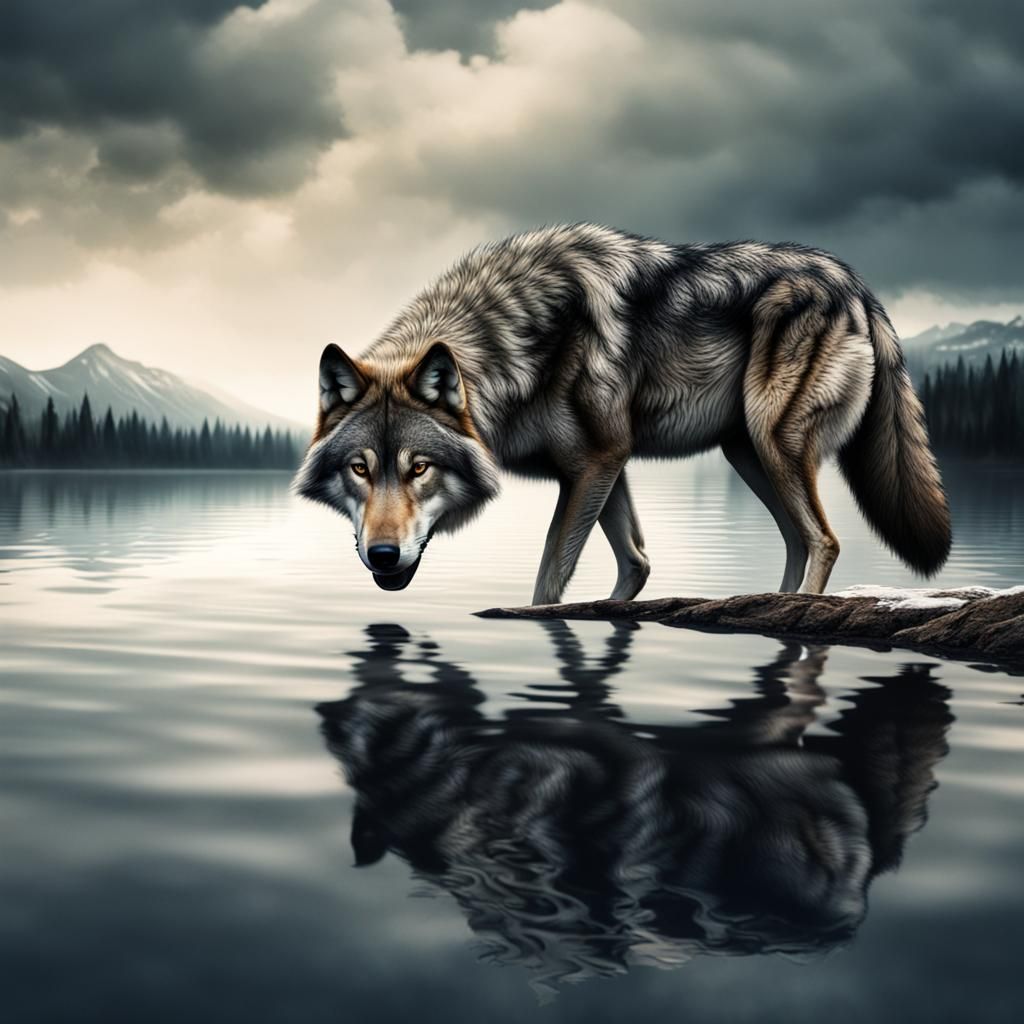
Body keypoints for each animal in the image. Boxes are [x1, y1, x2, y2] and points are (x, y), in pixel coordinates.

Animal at [294, 223, 951, 602]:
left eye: (419, 468)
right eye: (360, 468)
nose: (383, 555)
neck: (515, 343)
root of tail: (855, 282)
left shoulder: (598, 461)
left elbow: (549, 580)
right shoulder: (604, 467)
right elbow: (635, 564)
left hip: (774, 444)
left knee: (824, 540)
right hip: (749, 454)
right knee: (797, 540)